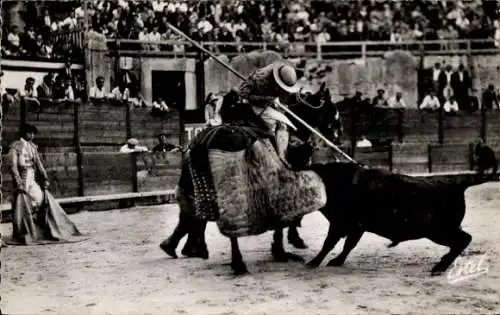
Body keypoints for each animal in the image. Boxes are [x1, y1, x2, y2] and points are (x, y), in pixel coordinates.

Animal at [161, 82, 344, 276]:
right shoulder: (285, 180)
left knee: (188, 213)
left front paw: (285, 246)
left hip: (190, 183)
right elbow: (290, 216)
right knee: (229, 225)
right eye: (333, 110)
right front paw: (285, 247)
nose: (339, 138)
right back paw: (237, 263)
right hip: (231, 190)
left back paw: (182, 248)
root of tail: (206, 139)